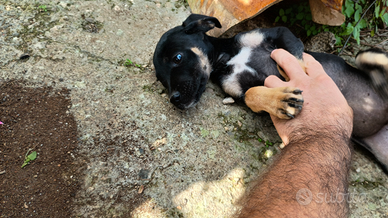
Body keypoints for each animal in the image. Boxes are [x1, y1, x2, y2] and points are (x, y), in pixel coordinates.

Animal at [153, 14, 388, 172]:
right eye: (161, 79)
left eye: (177, 58)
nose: (174, 99)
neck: (226, 57)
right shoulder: (240, 90)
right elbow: (253, 94)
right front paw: (280, 100)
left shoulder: (281, 33)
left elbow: (294, 61)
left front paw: (298, 76)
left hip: (363, 56)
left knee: (364, 56)